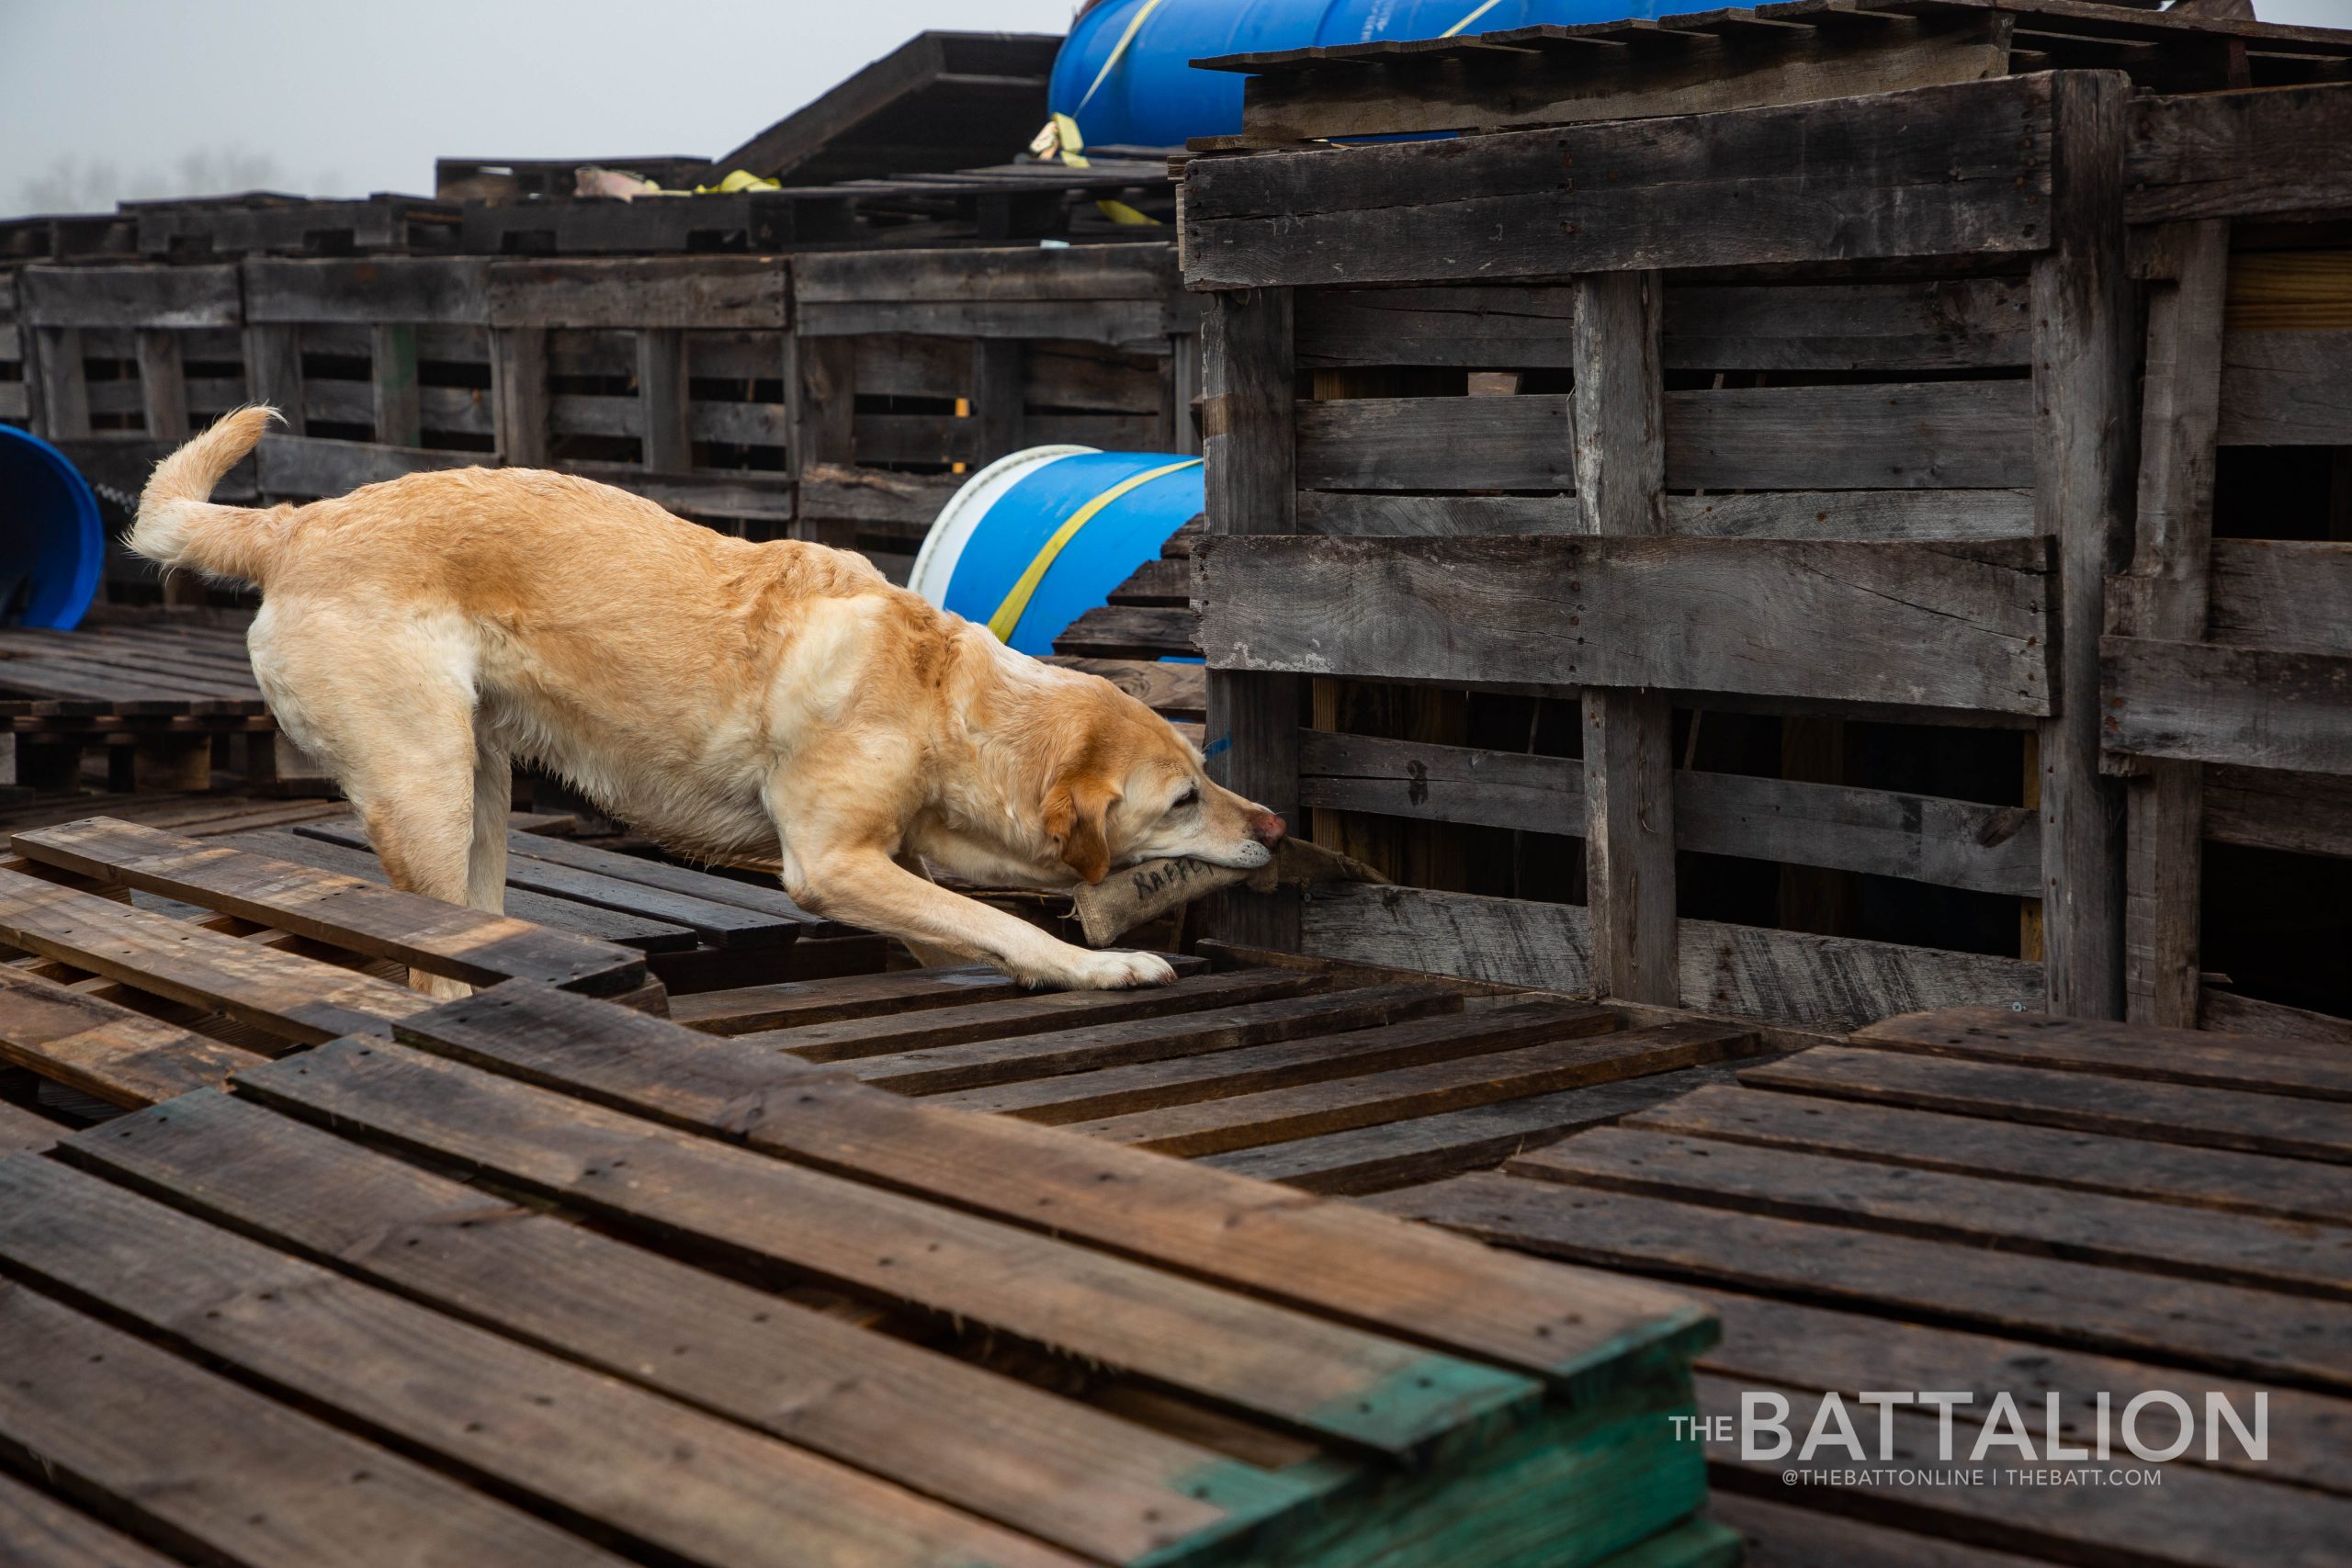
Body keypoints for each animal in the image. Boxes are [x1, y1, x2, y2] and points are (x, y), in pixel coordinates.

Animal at [129, 404, 1288, 991]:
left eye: (1207, 774)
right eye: (1181, 799)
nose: (1275, 827)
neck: (946, 699)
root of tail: (295, 524)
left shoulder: (890, 858)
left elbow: (955, 925)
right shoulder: (828, 864)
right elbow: (1000, 922)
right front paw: (1105, 966)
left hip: (480, 791)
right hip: (425, 791)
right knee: (427, 960)